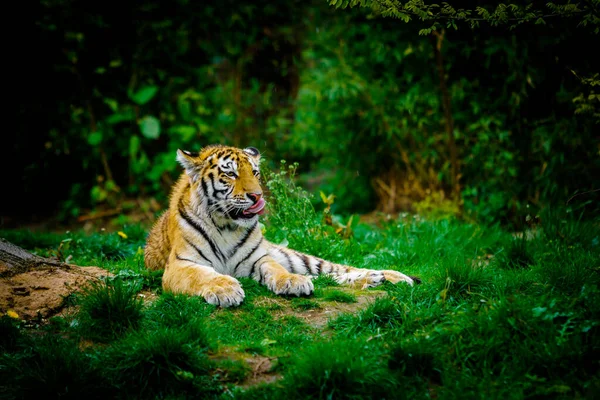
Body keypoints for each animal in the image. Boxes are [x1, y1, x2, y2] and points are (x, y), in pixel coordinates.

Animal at [145, 145, 418, 308]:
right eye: (231, 174)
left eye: (255, 172)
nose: (257, 196)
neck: (226, 226)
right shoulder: (180, 265)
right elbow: (201, 275)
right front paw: (225, 289)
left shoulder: (259, 258)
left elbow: (276, 270)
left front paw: (292, 282)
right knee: (329, 276)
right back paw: (374, 280)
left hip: (294, 256)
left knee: (336, 269)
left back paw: (389, 276)